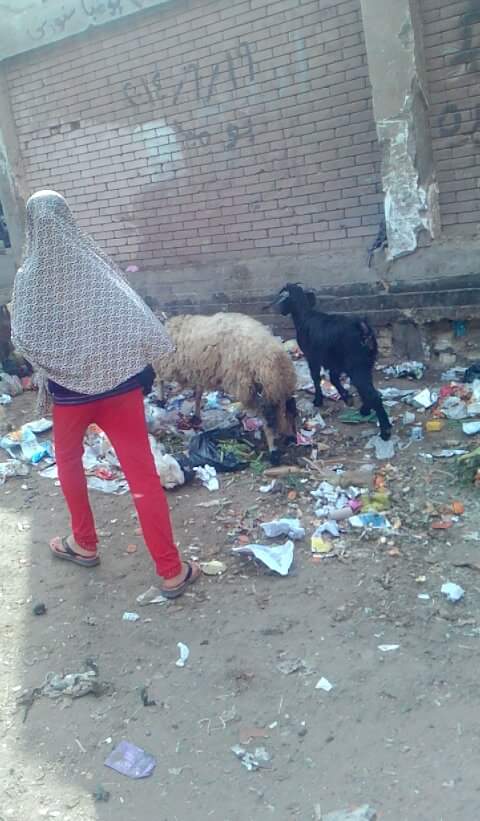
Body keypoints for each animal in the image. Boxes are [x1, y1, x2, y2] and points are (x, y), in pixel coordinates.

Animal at [155, 312, 297, 464]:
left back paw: (273, 450)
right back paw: (288, 436)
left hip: (249, 387)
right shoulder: (199, 370)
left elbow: (170, 383)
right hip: (274, 389)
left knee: (268, 420)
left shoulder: (181, 367)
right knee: (286, 410)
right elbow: (197, 393)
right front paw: (195, 416)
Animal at [272, 283, 391, 441]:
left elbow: (316, 378)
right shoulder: (335, 363)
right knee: (370, 391)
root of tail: (363, 329)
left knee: (373, 394)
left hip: (357, 366)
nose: (281, 311)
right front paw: (347, 397)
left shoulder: (312, 357)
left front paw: (318, 400)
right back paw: (365, 409)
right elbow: (334, 378)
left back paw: (385, 431)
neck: (305, 316)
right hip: (366, 364)